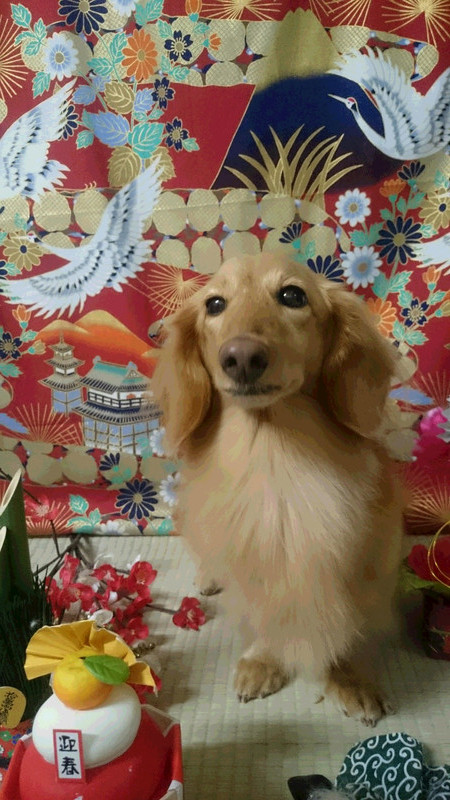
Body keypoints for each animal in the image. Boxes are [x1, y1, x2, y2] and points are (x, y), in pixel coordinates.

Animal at [153, 251, 404, 726]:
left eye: (292, 295)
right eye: (215, 304)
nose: (242, 357)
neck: (275, 459)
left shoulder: (351, 560)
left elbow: (346, 625)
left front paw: (348, 677)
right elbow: (264, 612)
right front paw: (263, 661)